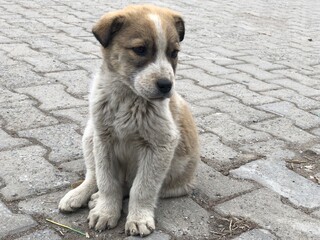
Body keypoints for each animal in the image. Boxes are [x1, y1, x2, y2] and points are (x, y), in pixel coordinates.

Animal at [58, 4, 199, 237]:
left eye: (174, 53)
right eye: (140, 50)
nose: (166, 85)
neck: (127, 98)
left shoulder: (160, 145)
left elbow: (142, 188)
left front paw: (138, 217)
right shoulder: (103, 139)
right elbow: (107, 181)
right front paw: (106, 211)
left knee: (128, 187)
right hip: (90, 135)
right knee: (93, 175)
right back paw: (81, 195)